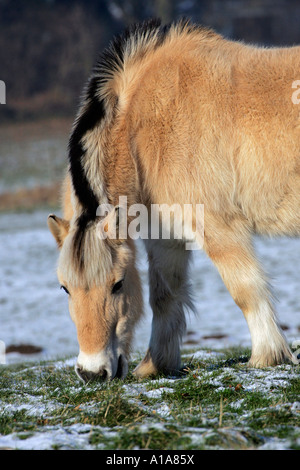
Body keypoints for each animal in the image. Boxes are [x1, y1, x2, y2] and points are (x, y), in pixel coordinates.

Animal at [47, 20, 300, 384]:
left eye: (118, 284)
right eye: (65, 288)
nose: (92, 372)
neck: (144, 127)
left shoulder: (216, 227)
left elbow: (245, 289)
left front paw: (266, 357)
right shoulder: (166, 237)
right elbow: (165, 296)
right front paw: (156, 365)